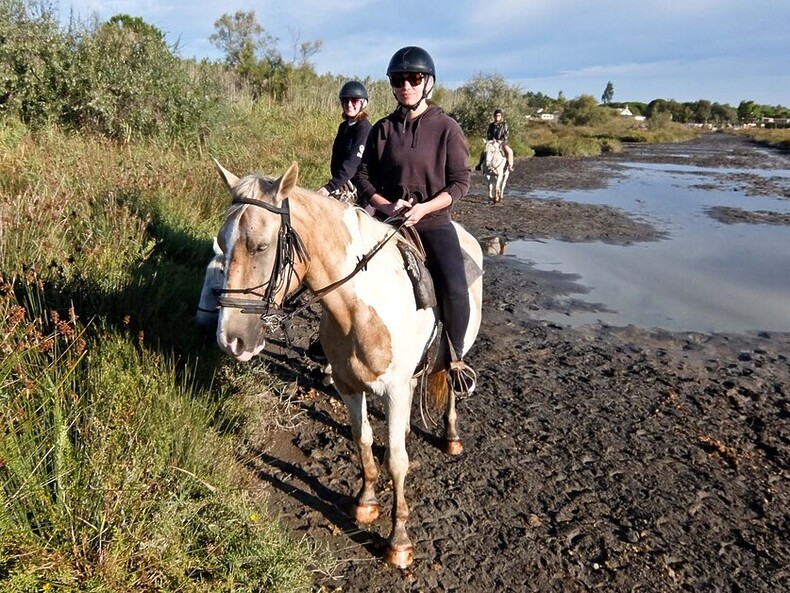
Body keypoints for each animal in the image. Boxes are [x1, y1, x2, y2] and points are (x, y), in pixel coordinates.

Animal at [203, 160, 488, 568]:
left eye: (261, 246)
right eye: (223, 244)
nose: (231, 340)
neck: (359, 307)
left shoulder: (394, 390)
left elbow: (397, 462)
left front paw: (398, 542)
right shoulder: (348, 385)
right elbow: (363, 438)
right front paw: (366, 503)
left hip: (456, 350)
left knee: (450, 379)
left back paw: (450, 436)